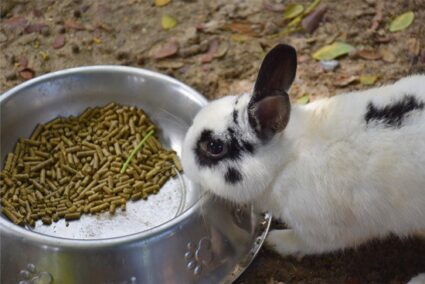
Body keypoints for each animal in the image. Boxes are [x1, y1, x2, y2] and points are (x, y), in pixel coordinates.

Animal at [180, 44, 424, 280]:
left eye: (214, 147)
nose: (183, 161)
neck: (285, 161)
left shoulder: (325, 229)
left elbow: (309, 243)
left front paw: (275, 241)